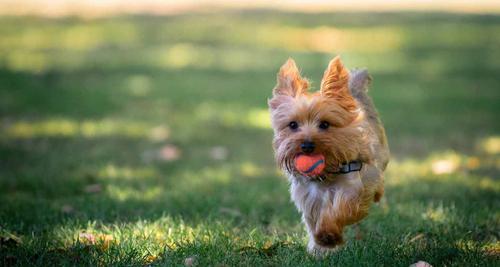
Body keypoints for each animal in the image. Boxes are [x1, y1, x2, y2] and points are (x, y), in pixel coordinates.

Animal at [270, 56, 390, 255]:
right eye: (293, 125)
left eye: (325, 124)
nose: (307, 145)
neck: (326, 174)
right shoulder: (309, 197)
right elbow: (313, 220)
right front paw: (319, 246)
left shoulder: (353, 186)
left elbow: (341, 209)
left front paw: (328, 235)